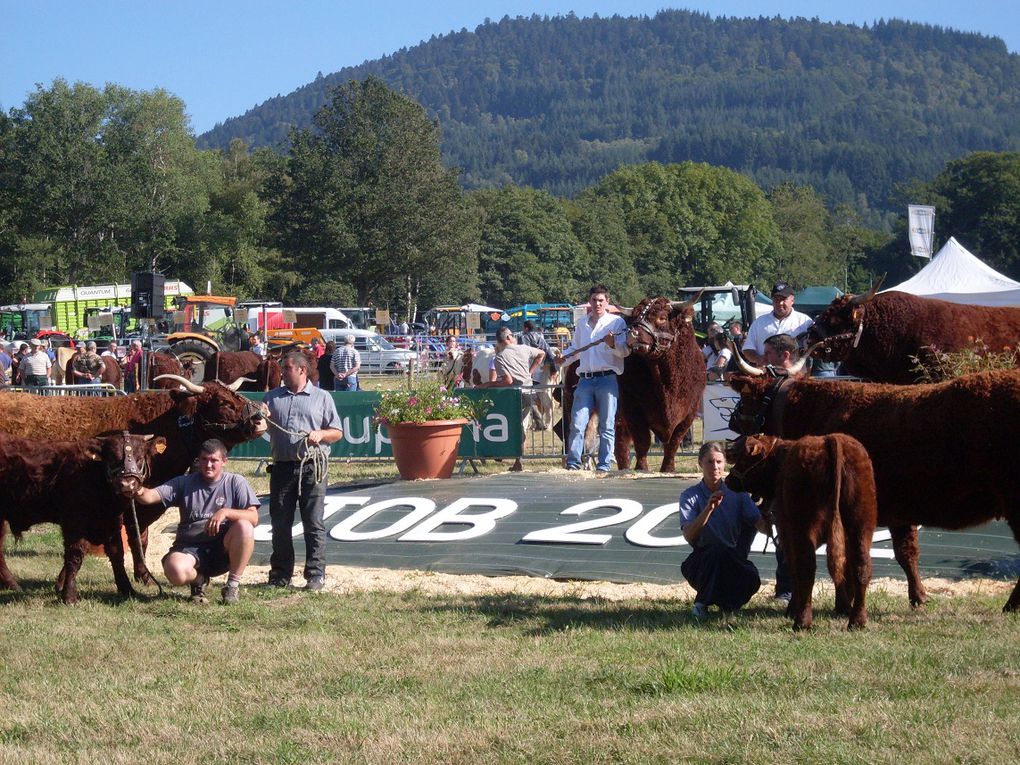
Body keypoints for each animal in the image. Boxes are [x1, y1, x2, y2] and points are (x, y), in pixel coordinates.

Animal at [0, 432, 166, 603]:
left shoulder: (112, 521)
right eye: (112, 458)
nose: (128, 484)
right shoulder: (74, 523)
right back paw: (13, 585)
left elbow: (117, 553)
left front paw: (127, 590)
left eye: (139, 458)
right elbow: (75, 556)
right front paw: (69, 595)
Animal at [726, 434, 877, 632]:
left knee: (806, 568)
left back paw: (802, 622)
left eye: (744, 459)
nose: (728, 480)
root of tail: (831, 439)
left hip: (804, 528)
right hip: (860, 524)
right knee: (861, 565)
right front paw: (843, 607)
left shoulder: (786, 532)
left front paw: (792, 609)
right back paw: (857, 621)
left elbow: (793, 570)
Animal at [730, 369, 1020, 616]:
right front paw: (918, 597)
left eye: (743, 403)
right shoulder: (899, 510)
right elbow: (905, 552)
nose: (732, 433)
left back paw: (1011, 606)